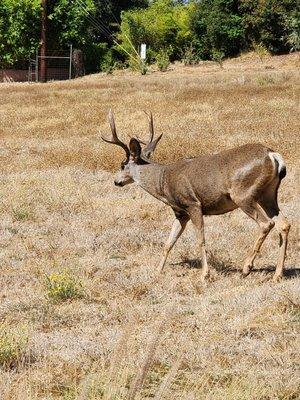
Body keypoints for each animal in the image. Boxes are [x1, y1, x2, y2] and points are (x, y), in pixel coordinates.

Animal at [101, 111, 290, 282]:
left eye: (122, 165)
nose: (116, 181)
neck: (163, 181)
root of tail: (272, 155)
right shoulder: (180, 213)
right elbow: (168, 243)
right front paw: (157, 271)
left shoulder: (192, 204)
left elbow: (200, 239)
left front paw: (204, 274)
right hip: (268, 195)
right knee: (284, 224)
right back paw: (277, 275)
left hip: (243, 194)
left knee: (267, 224)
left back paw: (246, 268)